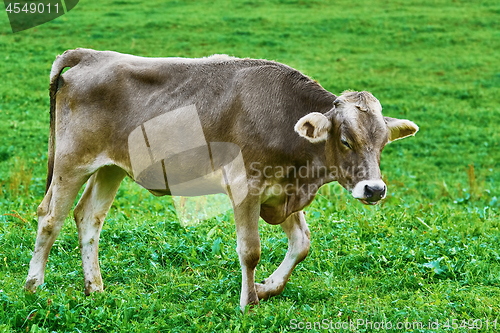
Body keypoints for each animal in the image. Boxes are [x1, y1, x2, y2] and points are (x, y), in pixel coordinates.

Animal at [25, 48, 420, 310]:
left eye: (382, 143)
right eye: (345, 140)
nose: (374, 189)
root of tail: (92, 55)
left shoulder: (282, 191)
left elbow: (302, 244)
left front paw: (267, 288)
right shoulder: (246, 187)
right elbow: (250, 250)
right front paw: (249, 303)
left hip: (111, 168)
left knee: (88, 217)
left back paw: (95, 288)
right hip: (71, 161)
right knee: (50, 217)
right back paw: (34, 286)